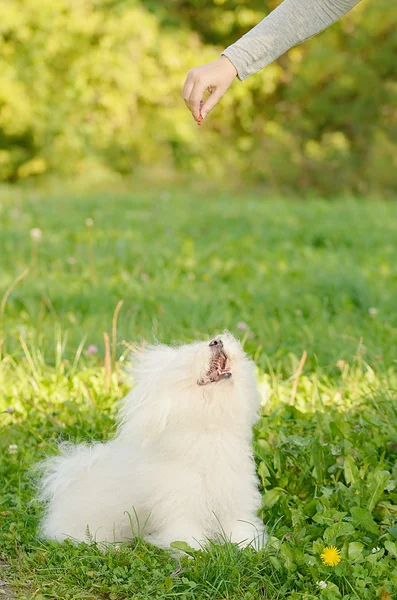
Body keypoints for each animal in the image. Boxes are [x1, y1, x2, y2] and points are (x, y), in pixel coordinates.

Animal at [38, 336, 264, 552]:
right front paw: (198, 553)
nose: (217, 341)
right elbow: (187, 536)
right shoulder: (180, 508)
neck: (209, 432)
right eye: (191, 356)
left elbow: (240, 529)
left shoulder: (233, 502)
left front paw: (249, 547)